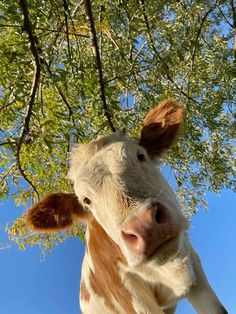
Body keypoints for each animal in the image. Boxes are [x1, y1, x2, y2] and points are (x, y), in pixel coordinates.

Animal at [23, 101, 227, 314]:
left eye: (141, 155)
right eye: (86, 200)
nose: (145, 226)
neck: (169, 271)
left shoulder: (194, 269)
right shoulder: (128, 295)